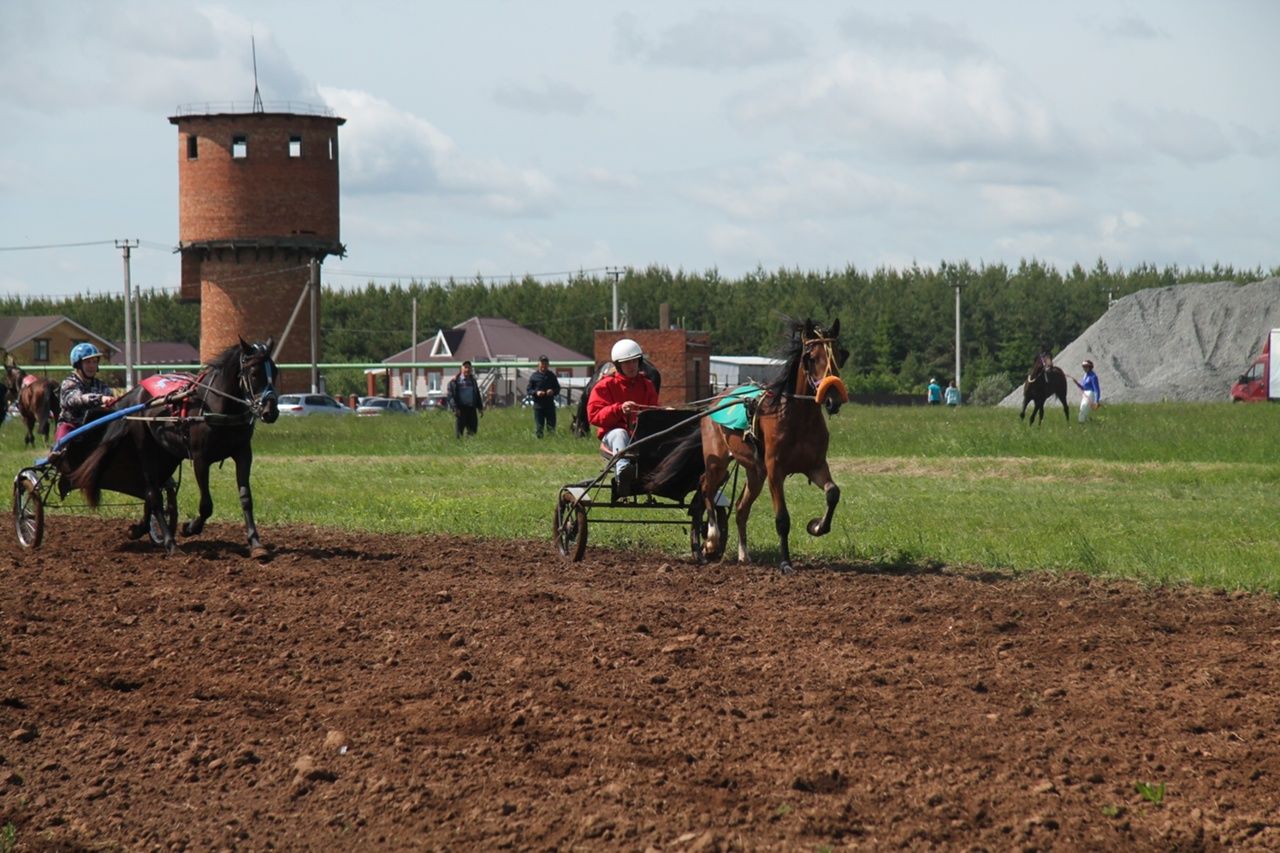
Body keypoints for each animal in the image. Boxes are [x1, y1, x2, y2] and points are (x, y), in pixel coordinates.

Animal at [72, 338, 280, 558]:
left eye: (275, 372)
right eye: (255, 373)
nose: (271, 412)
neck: (215, 407)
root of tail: (135, 393)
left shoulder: (243, 454)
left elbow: (246, 498)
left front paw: (256, 544)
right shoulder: (200, 459)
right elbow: (206, 505)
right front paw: (189, 528)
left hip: (167, 456)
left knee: (151, 493)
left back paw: (140, 529)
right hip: (146, 450)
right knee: (153, 494)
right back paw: (171, 544)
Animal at [650, 318, 849, 571]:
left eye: (840, 355)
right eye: (811, 357)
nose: (833, 399)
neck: (795, 417)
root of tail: (713, 402)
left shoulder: (815, 465)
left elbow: (833, 493)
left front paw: (816, 526)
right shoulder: (775, 470)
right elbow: (782, 519)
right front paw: (786, 563)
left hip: (755, 472)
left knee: (740, 508)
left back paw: (743, 554)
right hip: (718, 461)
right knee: (706, 488)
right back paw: (710, 540)